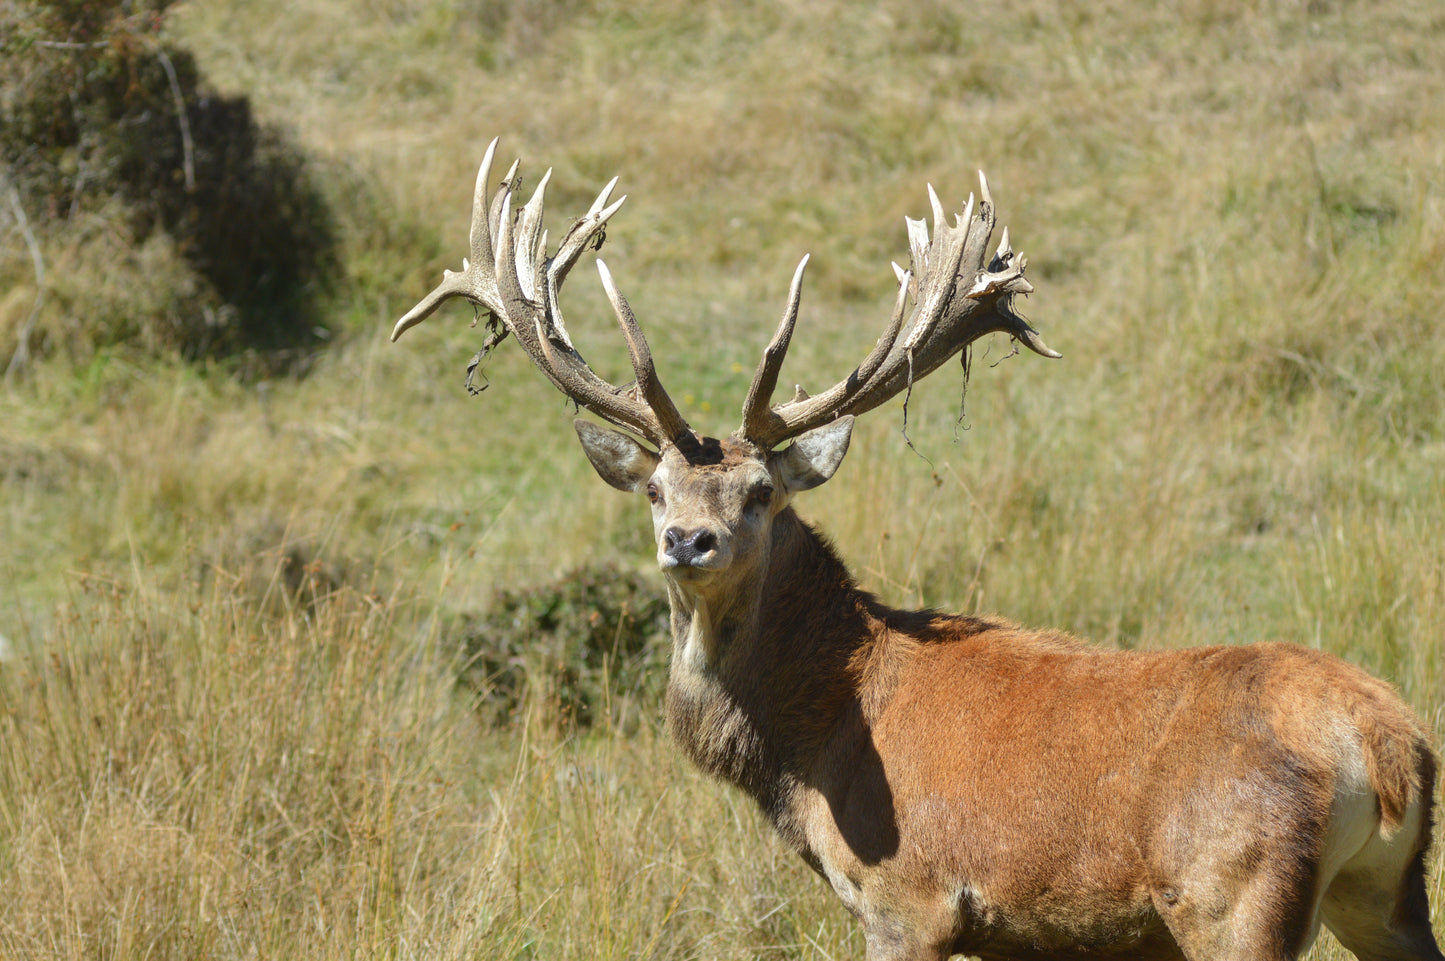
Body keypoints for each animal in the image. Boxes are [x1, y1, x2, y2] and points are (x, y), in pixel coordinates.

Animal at [391, 138, 1443, 961]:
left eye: (761, 492)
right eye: (653, 489)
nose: (688, 541)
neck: (811, 744)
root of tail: (1390, 746)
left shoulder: (909, 898)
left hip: (1235, 898)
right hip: (1385, 896)